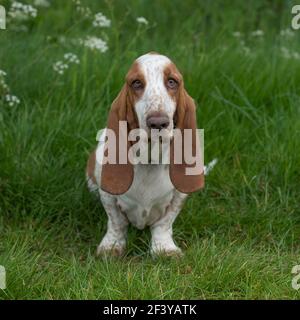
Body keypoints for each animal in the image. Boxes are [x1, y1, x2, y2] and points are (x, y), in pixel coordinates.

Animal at [85, 52, 205, 258]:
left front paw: (164, 248)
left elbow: (164, 223)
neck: (149, 158)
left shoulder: (179, 196)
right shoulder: (107, 194)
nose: (158, 123)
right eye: (136, 83)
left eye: (172, 82)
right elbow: (116, 222)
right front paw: (112, 246)